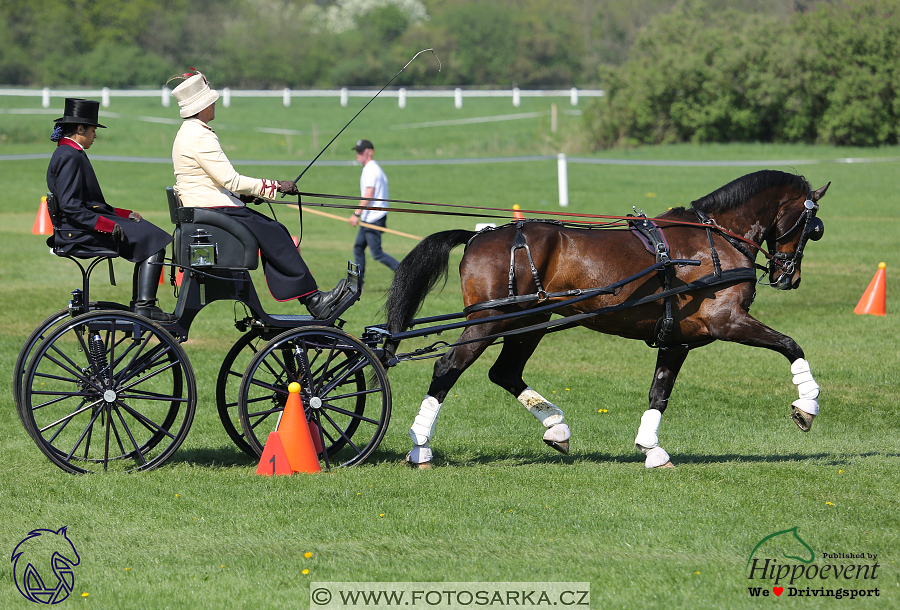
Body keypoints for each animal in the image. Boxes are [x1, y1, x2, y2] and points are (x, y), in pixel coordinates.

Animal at [384, 169, 828, 468]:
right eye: (814, 226)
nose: (790, 277)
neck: (715, 240)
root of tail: (480, 234)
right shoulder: (727, 321)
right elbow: (791, 345)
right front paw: (806, 404)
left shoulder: (677, 338)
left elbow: (659, 394)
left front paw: (652, 449)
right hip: (490, 320)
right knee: (448, 367)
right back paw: (420, 445)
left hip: (528, 322)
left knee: (505, 371)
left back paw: (556, 427)